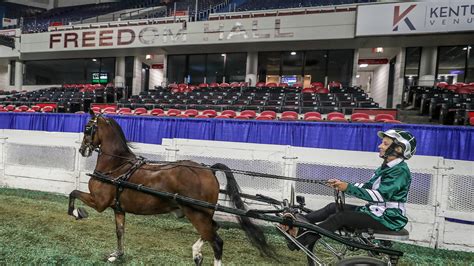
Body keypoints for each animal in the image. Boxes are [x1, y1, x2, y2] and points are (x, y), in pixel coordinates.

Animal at [67, 110, 274, 264]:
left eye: (87, 128)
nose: (83, 150)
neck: (116, 166)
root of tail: (209, 170)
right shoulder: (118, 208)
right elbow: (120, 232)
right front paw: (117, 255)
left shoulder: (99, 202)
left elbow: (73, 193)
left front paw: (78, 213)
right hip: (203, 215)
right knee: (214, 229)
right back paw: (196, 253)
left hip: (197, 214)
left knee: (216, 241)